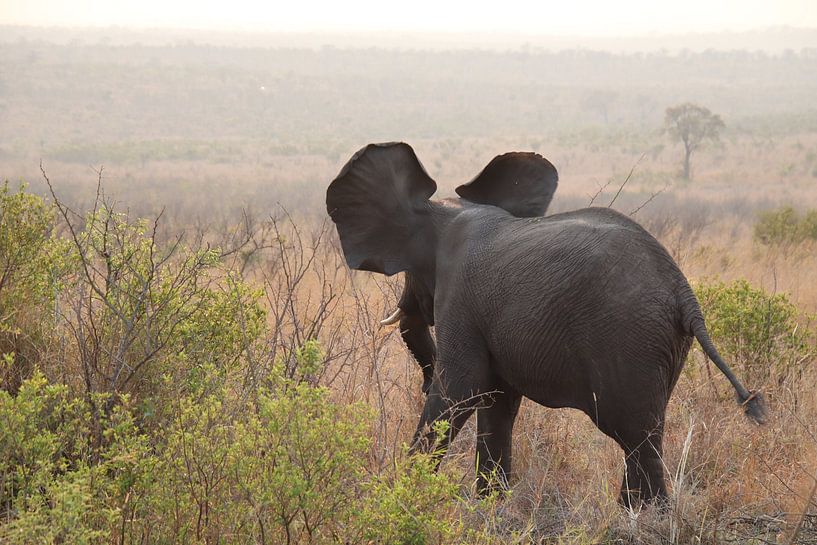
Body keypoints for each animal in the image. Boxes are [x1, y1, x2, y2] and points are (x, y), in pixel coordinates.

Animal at [326, 142, 767, 507]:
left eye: (412, 274)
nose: (423, 379)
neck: (445, 213)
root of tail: (683, 292)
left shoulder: (460, 298)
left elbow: (462, 389)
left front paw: (403, 491)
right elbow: (497, 401)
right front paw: (490, 506)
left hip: (629, 338)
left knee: (635, 434)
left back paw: (645, 516)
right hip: (663, 344)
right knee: (645, 431)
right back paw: (633, 510)